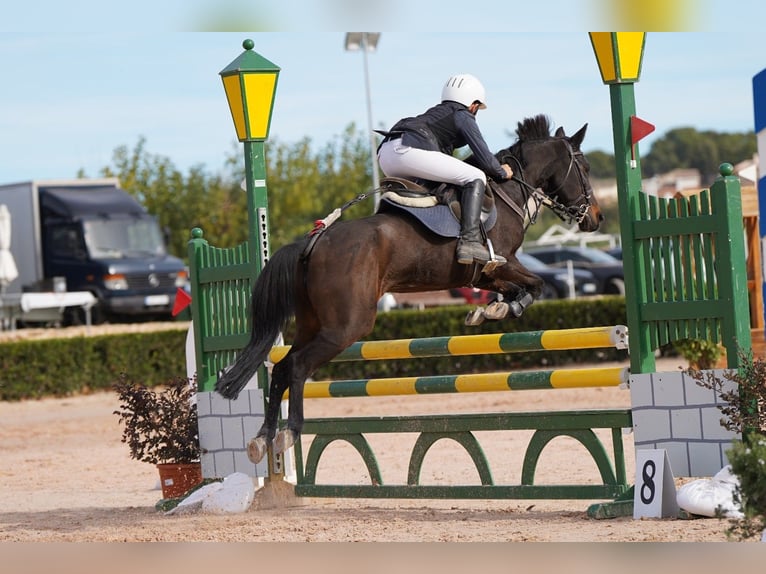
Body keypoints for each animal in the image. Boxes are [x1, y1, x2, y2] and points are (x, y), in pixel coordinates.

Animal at [218, 113, 608, 464]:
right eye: (585, 167)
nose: (596, 218)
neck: (507, 192)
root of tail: (310, 243)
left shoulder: (483, 275)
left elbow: (517, 288)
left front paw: (491, 309)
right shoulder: (503, 260)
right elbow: (537, 284)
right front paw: (502, 308)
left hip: (313, 323)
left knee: (282, 367)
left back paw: (263, 437)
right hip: (346, 327)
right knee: (297, 366)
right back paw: (290, 431)